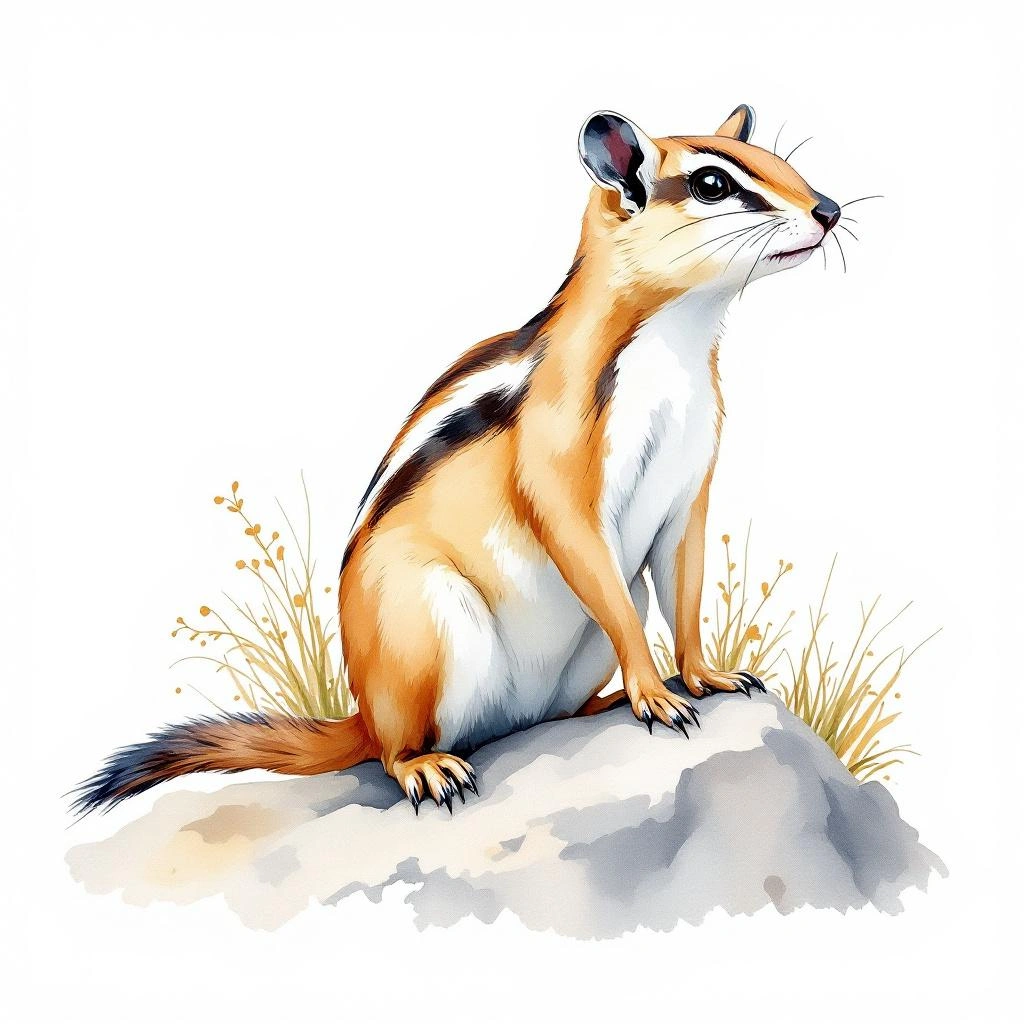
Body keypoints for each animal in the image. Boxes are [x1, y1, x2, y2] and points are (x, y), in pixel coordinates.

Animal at [75, 104, 842, 815]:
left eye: (777, 160)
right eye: (713, 184)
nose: (829, 211)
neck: (678, 340)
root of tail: (362, 711)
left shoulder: (689, 492)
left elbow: (685, 590)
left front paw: (703, 675)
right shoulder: (558, 469)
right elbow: (588, 556)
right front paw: (654, 690)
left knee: (551, 711)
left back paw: (598, 705)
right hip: (422, 620)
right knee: (393, 750)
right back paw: (426, 765)